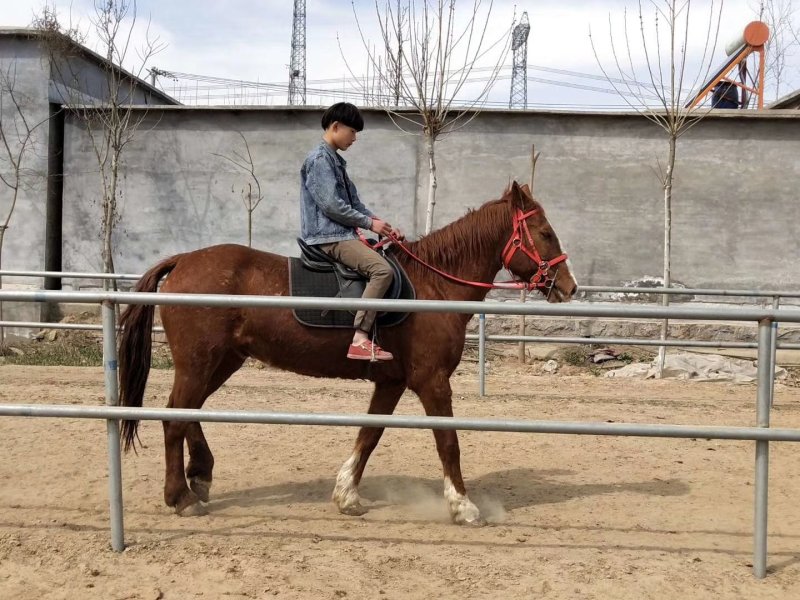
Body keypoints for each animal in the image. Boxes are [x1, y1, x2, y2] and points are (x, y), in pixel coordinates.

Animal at [117, 181, 577, 525]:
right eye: (546, 233)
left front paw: (346, 495)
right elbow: (448, 442)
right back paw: (181, 497)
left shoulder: (391, 383)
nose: (569, 287)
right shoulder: (432, 382)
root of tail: (183, 261)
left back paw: (201, 475)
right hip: (199, 363)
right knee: (175, 418)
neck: (433, 286)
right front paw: (463, 506)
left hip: (221, 361)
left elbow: (368, 436)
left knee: (187, 411)